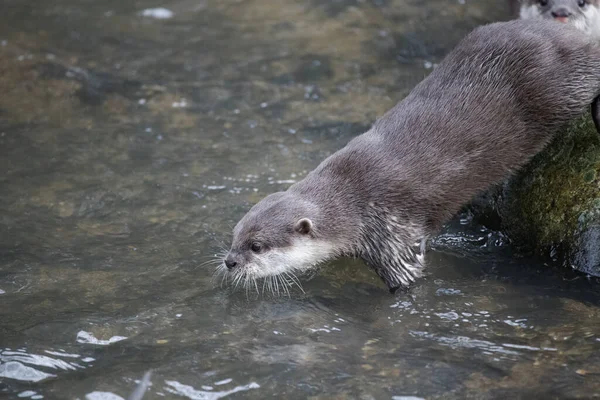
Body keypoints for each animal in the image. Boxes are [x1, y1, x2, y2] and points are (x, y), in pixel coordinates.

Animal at [223, 19, 600, 294]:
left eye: (256, 246)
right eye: (235, 236)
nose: (229, 262)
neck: (352, 201)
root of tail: (572, 38)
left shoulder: (390, 232)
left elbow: (406, 277)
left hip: (559, 85)